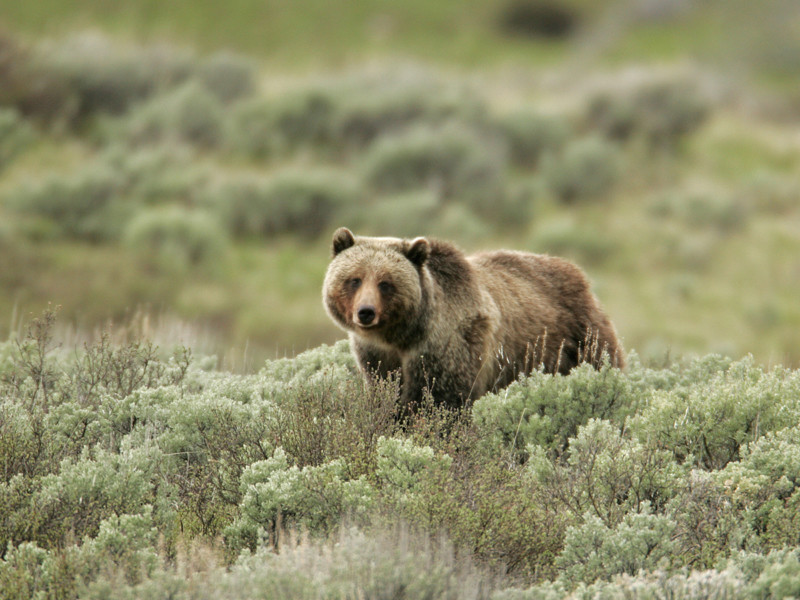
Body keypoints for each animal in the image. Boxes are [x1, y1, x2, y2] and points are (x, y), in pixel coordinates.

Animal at [322, 227, 620, 410]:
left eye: (385, 283)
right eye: (354, 279)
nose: (366, 312)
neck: (401, 335)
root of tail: (579, 273)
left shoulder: (449, 345)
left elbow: (441, 400)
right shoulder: (377, 356)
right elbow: (386, 391)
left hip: (578, 337)